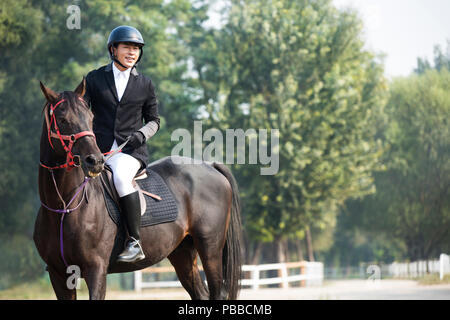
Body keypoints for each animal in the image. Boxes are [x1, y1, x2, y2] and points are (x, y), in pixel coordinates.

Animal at [33, 79, 243, 298]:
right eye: (62, 120)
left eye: (90, 118)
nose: (95, 161)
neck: (64, 206)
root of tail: (210, 165)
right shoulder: (58, 275)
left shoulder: (96, 270)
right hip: (182, 253)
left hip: (210, 249)